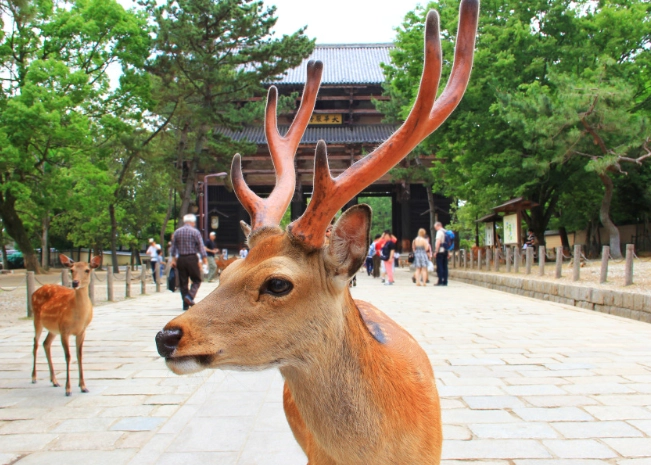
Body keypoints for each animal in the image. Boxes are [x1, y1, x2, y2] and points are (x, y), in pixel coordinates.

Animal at [32, 254, 101, 396]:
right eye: (71, 270)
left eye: (87, 270)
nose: (75, 283)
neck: (79, 317)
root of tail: (33, 293)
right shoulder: (65, 331)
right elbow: (68, 356)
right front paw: (68, 389)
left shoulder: (82, 331)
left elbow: (79, 355)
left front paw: (83, 386)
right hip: (37, 318)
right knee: (35, 343)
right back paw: (34, 377)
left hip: (53, 329)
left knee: (46, 343)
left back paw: (54, 381)